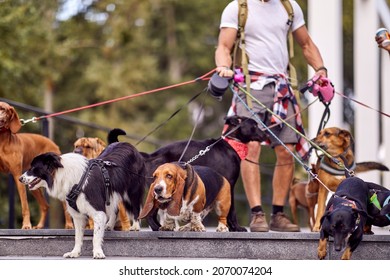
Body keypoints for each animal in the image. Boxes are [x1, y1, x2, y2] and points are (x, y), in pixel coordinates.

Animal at [0, 101, 72, 229]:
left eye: (3, 108)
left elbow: (25, 205)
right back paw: (40, 226)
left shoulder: (17, 175)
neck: (2, 141)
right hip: (33, 184)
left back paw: (69, 225)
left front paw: (26, 225)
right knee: (45, 206)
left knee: (64, 203)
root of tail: (53, 144)